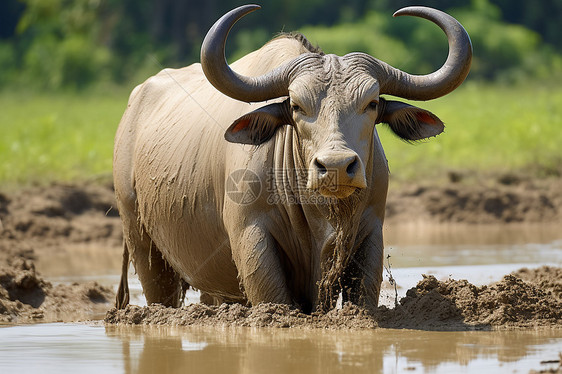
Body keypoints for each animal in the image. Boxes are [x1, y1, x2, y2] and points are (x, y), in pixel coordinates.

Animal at [114, 5, 468, 312]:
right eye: (296, 106)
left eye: (371, 103)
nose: (336, 167)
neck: (321, 216)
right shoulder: (251, 237)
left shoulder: (370, 233)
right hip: (142, 242)